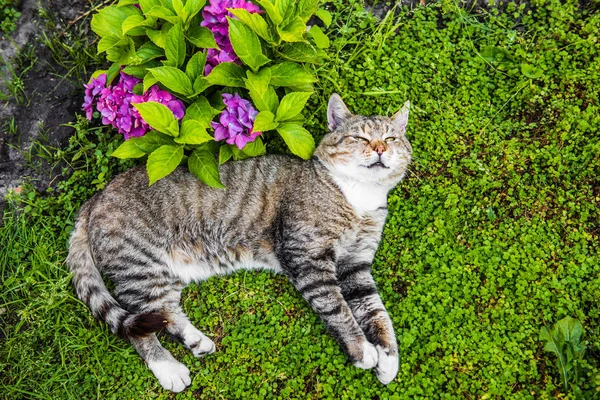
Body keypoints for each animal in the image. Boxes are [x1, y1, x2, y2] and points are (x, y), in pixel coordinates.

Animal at [67, 93, 412, 390]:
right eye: (360, 138)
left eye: (391, 139)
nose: (380, 149)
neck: (361, 196)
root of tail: (95, 198)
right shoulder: (307, 256)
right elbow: (337, 307)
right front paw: (362, 350)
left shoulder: (356, 264)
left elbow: (375, 310)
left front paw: (389, 358)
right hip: (140, 267)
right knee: (139, 328)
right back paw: (168, 369)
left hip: (157, 275)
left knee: (163, 313)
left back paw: (196, 341)